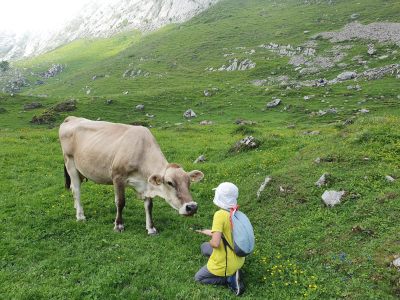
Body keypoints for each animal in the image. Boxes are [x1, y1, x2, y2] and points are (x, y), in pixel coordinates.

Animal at [59, 116, 203, 236]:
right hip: (70, 162)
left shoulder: (146, 183)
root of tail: (72, 118)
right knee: (76, 190)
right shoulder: (117, 177)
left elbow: (149, 206)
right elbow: (120, 202)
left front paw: (151, 228)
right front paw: (118, 225)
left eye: (189, 182)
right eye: (170, 182)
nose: (192, 207)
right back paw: (80, 216)